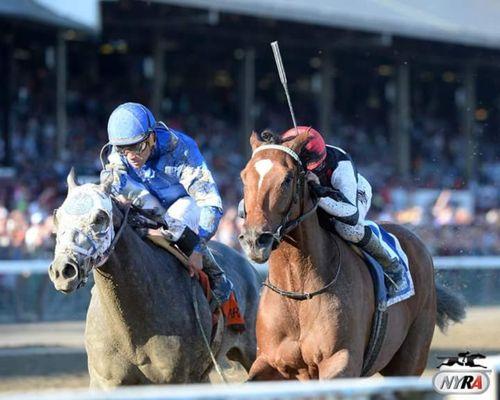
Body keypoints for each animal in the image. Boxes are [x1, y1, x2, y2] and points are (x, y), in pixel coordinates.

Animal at [238, 130, 464, 380]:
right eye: (244, 177)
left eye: (287, 179)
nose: (255, 240)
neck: (298, 291)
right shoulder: (270, 360)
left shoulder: (342, 360)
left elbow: (350, 214)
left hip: (410, 359)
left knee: (352, 227)